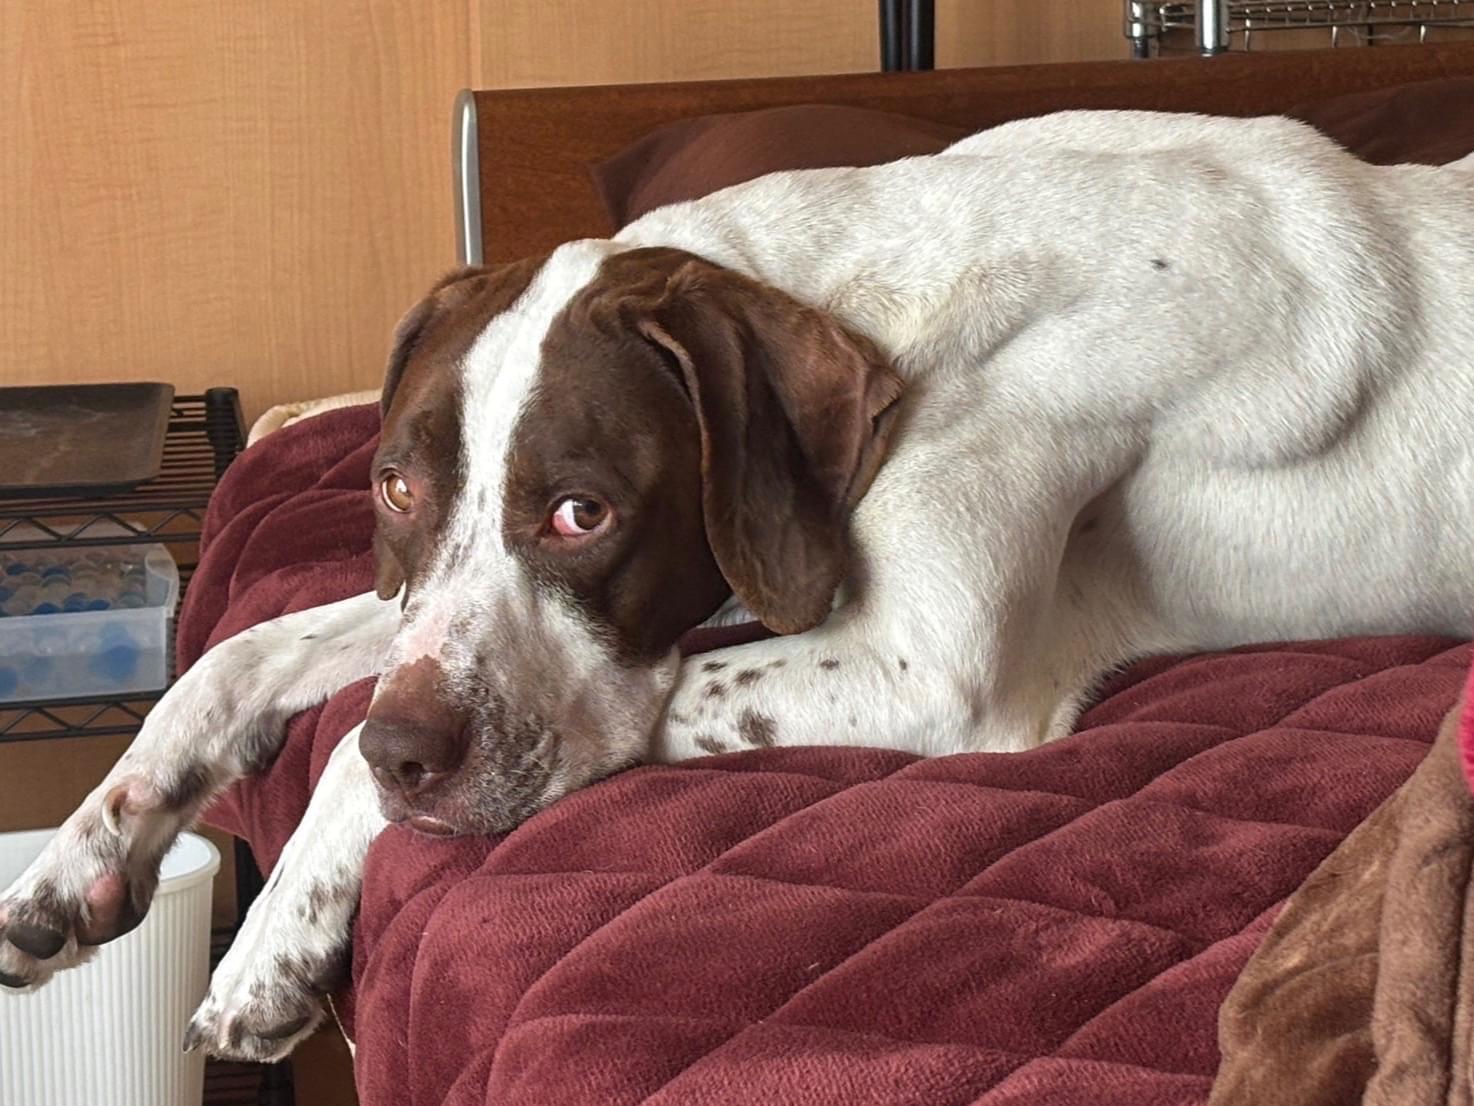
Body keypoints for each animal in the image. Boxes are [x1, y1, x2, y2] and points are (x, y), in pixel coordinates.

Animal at [2, 110, 1471, 1061]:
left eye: (583, 511)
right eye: (395, 489)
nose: (416, 748)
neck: (885, 296)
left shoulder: (924, 669)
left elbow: (389, 756)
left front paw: (271, 940)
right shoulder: (448, 604)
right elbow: (235, 657)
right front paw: (84, 852)